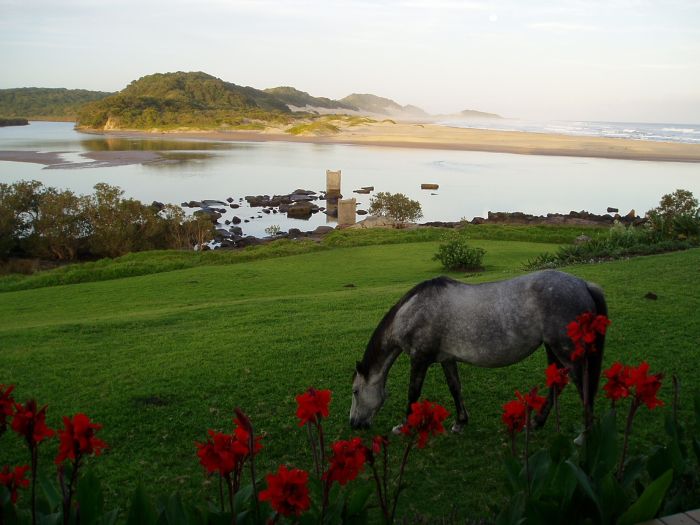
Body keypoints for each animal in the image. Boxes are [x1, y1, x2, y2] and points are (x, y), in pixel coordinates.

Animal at [350, 268, 608, 432]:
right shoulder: (446, 358)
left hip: (567, 352)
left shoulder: (419, 358)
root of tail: (583, 284)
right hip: (553, 349)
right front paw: (460, 422)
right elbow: (455, 387)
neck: (411, 311)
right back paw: (536, 423)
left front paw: (404, 425)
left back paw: (584, 436)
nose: (354, 424)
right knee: (557, 385)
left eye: (355, 391)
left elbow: (413, 393)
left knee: (583, 387)